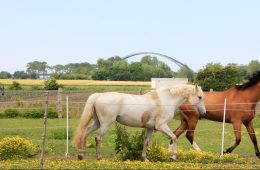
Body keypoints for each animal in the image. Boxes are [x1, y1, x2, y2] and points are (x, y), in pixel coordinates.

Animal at [72, 84, 205, 161]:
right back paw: (99, 158)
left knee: (85, 133)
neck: (165, 100)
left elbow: (146, 142)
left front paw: (144, 159)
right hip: (105, 124)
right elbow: (174, 138)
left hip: (97, 123)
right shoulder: (161, 126)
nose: (203, 113)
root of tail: (99, 95)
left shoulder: (150, 128)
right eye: (200, 97)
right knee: (98, 138)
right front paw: (173, 157)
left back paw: (81, 155)